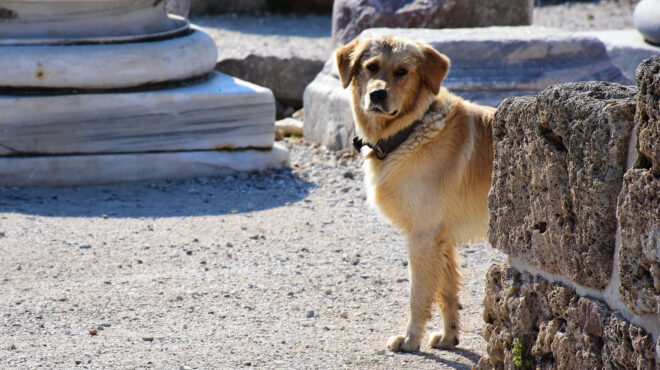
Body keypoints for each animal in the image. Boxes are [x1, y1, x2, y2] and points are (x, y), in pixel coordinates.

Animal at [336, 36, 496, 352]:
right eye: (371, 67)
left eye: (402, 72)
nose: (377, 95)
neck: (409, 130)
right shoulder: (441, 239)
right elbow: (446, 293)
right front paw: (449, 337)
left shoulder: (423, 235)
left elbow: (418, 295)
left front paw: (410, 339)